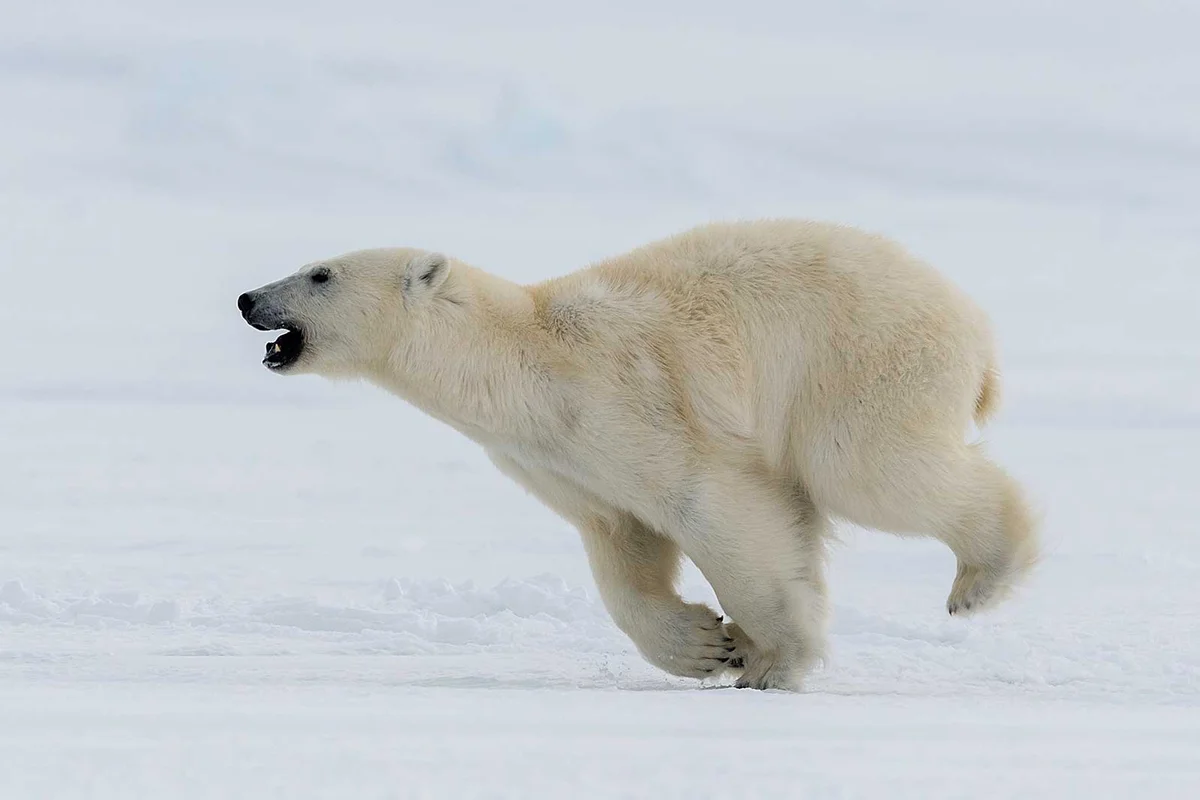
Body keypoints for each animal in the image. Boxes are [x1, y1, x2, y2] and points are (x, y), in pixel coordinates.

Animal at [238, 219, 1038, 691]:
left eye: (320, 273)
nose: (247, 298)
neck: (526, 364)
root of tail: (978, 336)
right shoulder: (559, 459)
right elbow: (623, 545)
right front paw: (710, 646)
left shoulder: (630, 403)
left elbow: (718, 508)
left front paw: (772, 660)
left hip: (860, 360)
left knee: (867, 468)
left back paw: (981, 580)